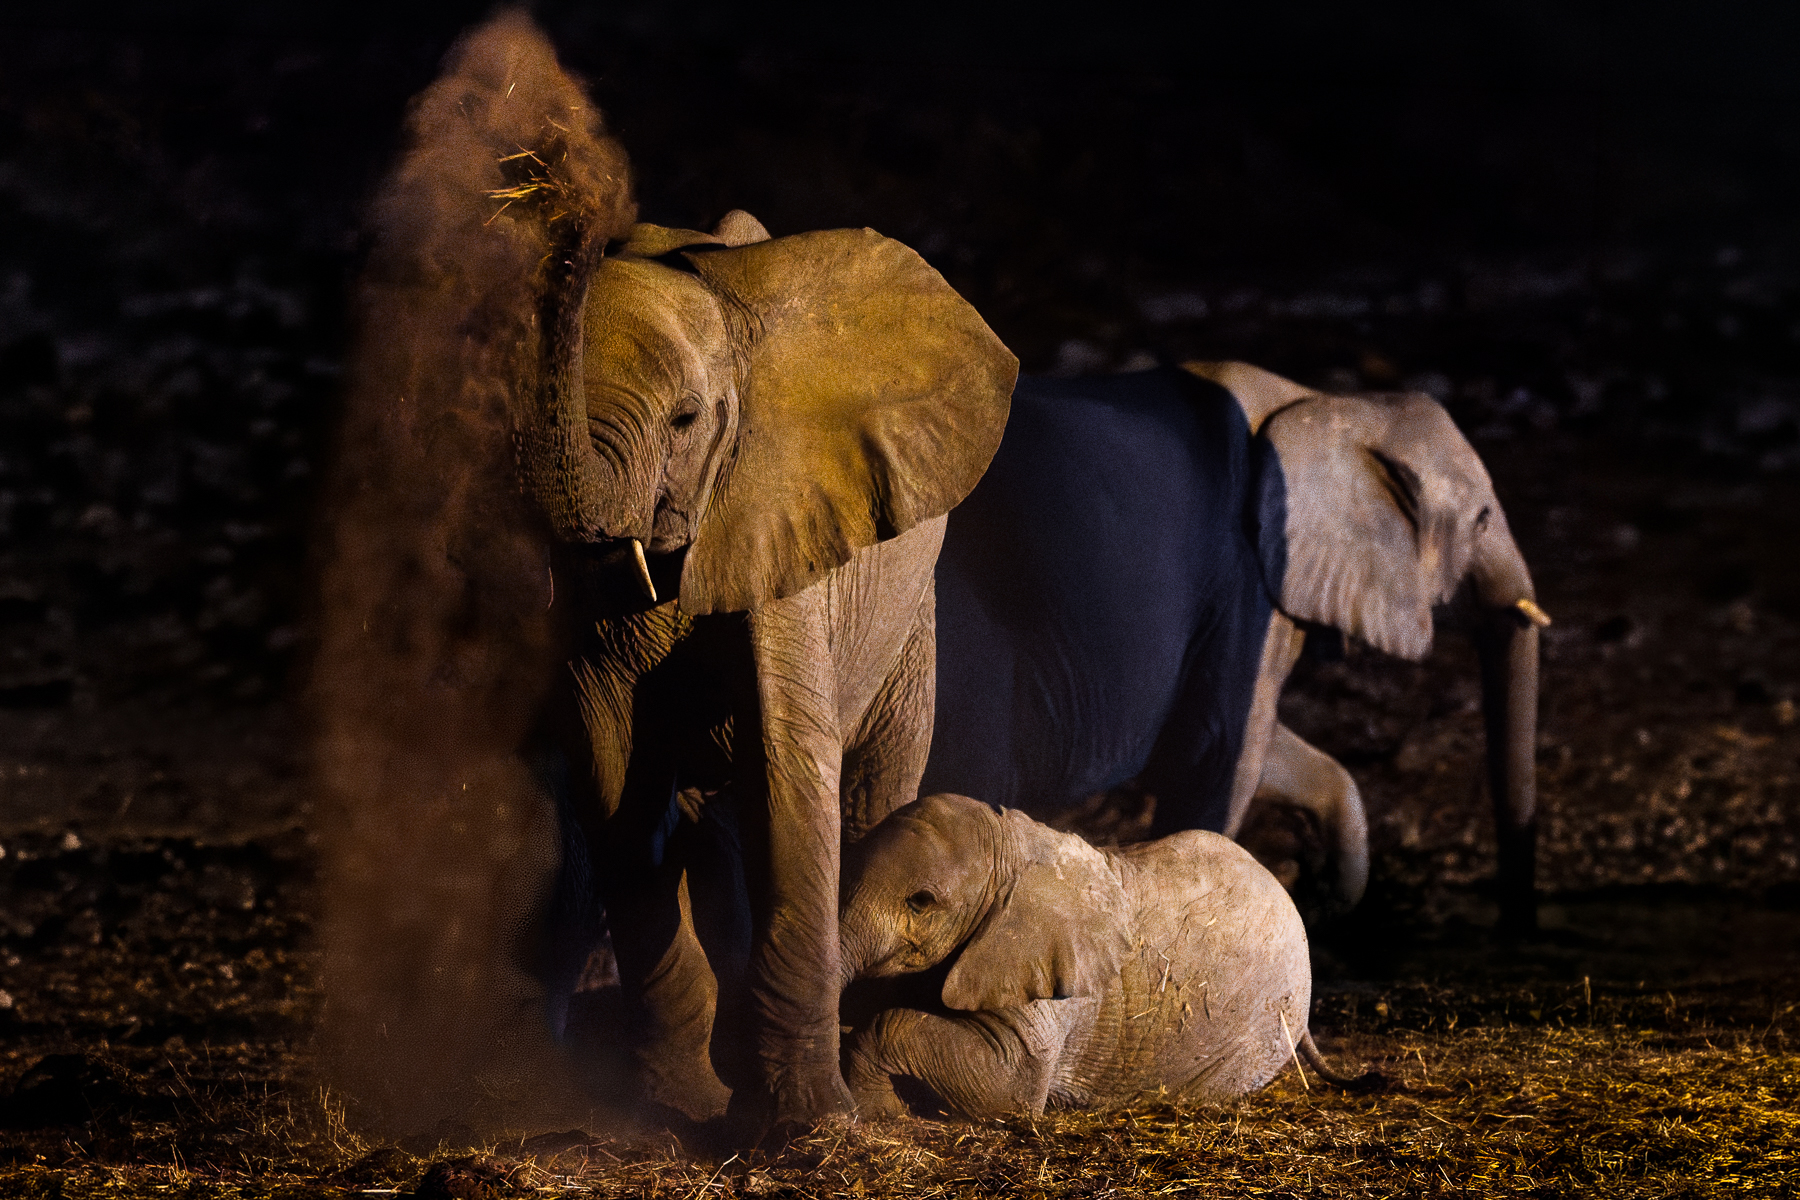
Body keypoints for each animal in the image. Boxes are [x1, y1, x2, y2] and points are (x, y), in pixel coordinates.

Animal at [311, 13, 1015, 1131]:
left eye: (688, 421)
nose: (556, 177)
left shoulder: (780, 525)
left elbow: (789, 766)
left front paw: (808, 1125)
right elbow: (613, 777)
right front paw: (678, 1100)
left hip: (910, 623)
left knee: (865, 785)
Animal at [839, 793, 1370, 1116]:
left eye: (920, 902)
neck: (1012, 843)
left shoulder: (1052, 978)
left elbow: (1011, 1083)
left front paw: (881, 1111)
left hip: (1259, 1034)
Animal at [920, 361, 1546, 927]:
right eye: (1483, 519)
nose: (1515, 924)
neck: (1326, 404)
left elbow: (1251, 743)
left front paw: (1329, 890)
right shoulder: (1247, 581)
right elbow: (1218, 750)